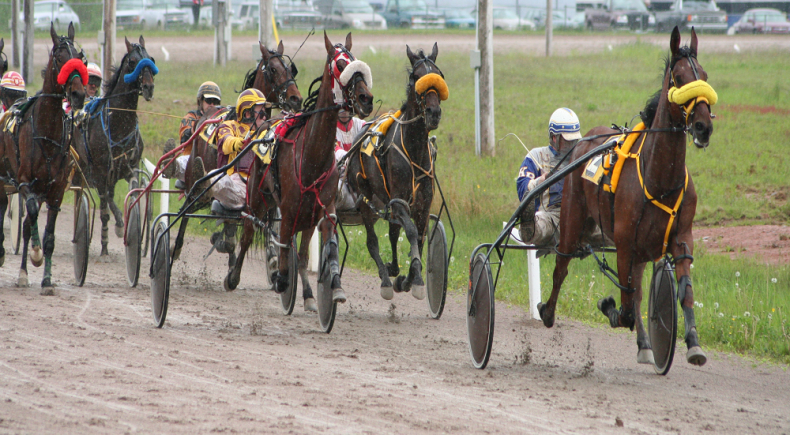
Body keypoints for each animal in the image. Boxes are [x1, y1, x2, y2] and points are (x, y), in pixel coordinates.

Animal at [0, 22, 87, 292]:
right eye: (60, 59)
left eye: (79, 57)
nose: (79, 94)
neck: (47, 132)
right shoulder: (24, 182)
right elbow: (30, 213)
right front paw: (35, 256)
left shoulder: (56, 190)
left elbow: (48, 235)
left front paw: (47, 280)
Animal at [73, 35, 157, 258]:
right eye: (133, 61)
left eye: (151, 59)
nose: (149, 87)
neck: (119, 123)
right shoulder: (101, 171)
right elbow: (105, 209)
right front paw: (109, 239)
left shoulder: (131, 167)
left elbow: (133, 193)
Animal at [224, 32, 376, 312]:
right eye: (340, 65)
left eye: (355, 60)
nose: (365, 98)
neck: (312, 157)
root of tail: (264, 125)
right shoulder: (289, 209)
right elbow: (284, 247)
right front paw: (282, 279)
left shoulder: (323, 209)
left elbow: (312, 252)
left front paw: (328, 289)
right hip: (257, 198)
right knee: (248, 233)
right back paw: (234, 277)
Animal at [344, 45, 448, 304]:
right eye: (416, 77)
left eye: (439, 75)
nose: (433, 112)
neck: (414, 150)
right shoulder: (400, 202)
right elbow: (410, 232)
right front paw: (416, 279)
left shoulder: (422, 204)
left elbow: (418, 237)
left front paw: (408, 278)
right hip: (365, 199)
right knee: (372, 242)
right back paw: (384, 279)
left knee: (392, 233)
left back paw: (393, 269)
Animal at [540, 26, 716, 368]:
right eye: (678, 78)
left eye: (702, 74)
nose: (703, 126)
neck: (659, 178)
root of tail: (584, 142)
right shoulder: (623, 242)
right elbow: (624, 305)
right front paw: (607, 306)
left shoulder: (681, 237)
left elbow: (682, 292)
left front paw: (693, 343)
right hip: (572, 219)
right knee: (561, 266)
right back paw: (547, 311)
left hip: (640, 248)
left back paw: (646, 344)